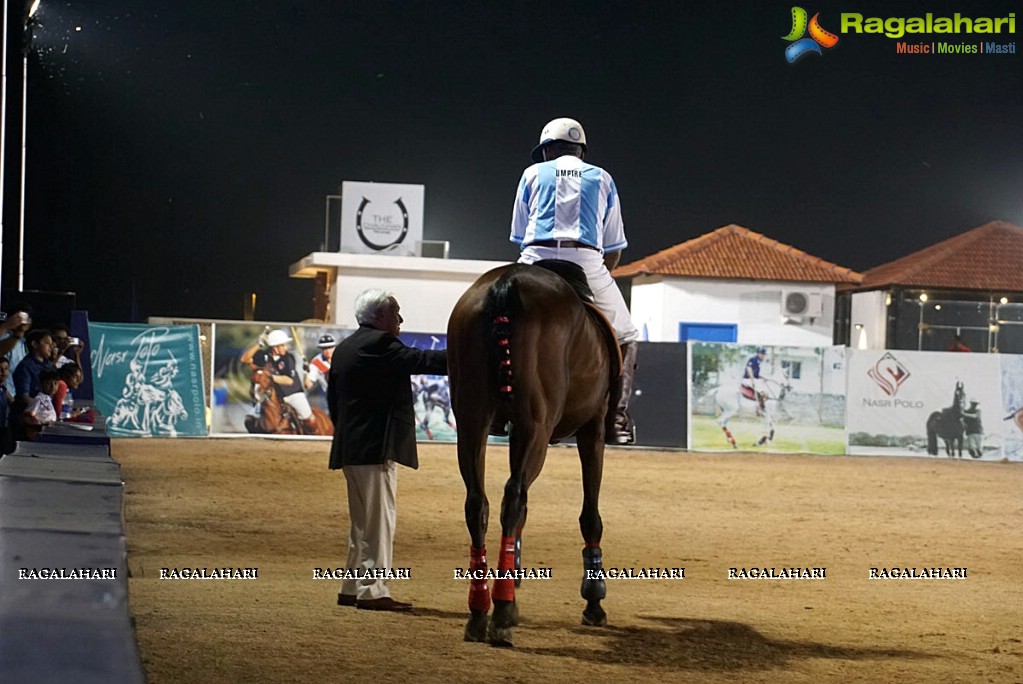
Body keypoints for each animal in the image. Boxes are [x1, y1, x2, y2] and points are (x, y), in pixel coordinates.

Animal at [450, 259, 621, 646]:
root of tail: (506, 284)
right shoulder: (593, 429)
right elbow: (591, 514)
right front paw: (594, 599)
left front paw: (512, 581)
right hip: (536, 426)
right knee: (513, 497)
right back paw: (500, 612)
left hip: (471, 421)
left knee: (478, 504)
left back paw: (480, 608)